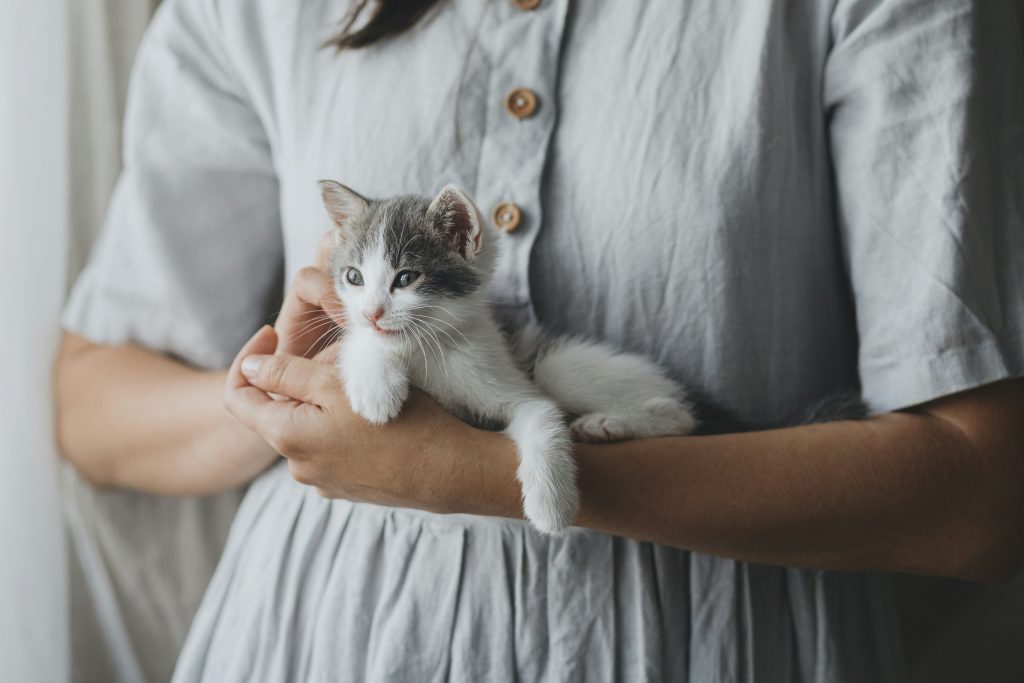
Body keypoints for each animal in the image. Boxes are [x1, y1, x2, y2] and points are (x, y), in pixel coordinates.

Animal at [319, 181, 700, 532]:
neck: (426, 346)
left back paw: (608, 423)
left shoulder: (507, 381)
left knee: (680, 415)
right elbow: (363, 342)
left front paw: (551, 504)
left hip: (556, 367)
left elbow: (543, 415)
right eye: (354, 277)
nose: (371, 313)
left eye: (406, 278)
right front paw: (376, 389)